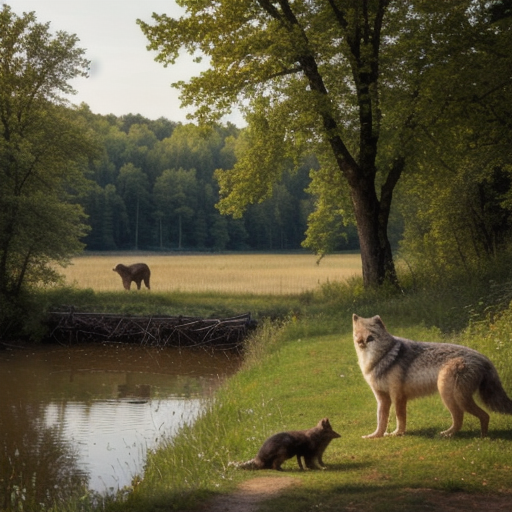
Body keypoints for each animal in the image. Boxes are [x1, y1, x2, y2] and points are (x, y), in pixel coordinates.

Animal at [352, 314, 512, 438]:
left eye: (370, 336)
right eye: (356, 334)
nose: (361, 342)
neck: (383, 358)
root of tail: (484, 358)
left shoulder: (398, 397)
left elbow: (399, 418)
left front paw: (397, 434)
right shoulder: (382, 399)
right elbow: (381, 421)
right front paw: (375, 436)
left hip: (452, 397)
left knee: (481, 416)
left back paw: (480, 438)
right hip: (453, 399)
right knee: (462, 420)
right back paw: (451, 434)